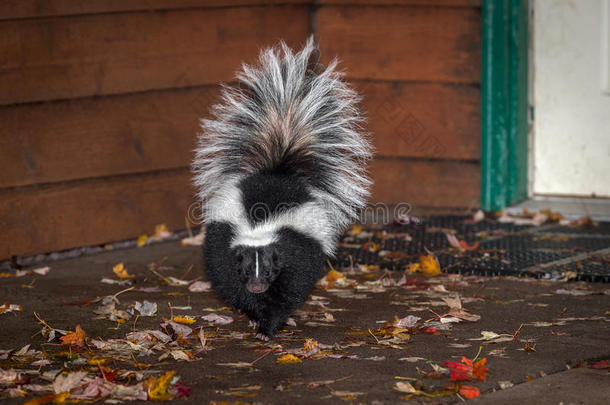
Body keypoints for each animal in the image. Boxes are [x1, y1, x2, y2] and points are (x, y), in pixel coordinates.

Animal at [192, 37, 370, 340]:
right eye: (246, 268)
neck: (259, 226)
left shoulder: (296, 252)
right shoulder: (224, 247)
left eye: (268, 269)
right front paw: (255, 314)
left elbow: (287, 292)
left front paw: (268, 325)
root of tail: (278, 171)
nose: (257, 286)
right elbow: (231, 285)